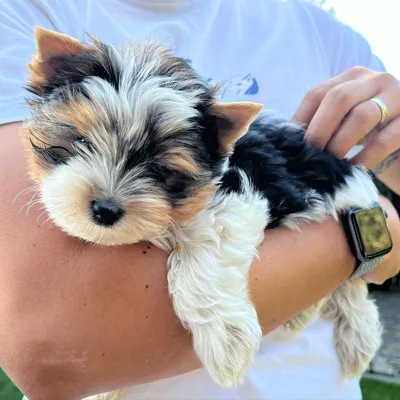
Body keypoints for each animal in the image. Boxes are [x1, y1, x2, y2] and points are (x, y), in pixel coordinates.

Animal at [22, 27, 384, 396]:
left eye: (162, 170)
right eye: (81, 142)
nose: (105, 209)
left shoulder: (236, 197)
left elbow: (206, 248)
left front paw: (227, 340)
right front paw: (104, 387)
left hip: (349, 202)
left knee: (353, 281)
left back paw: (358, 336)